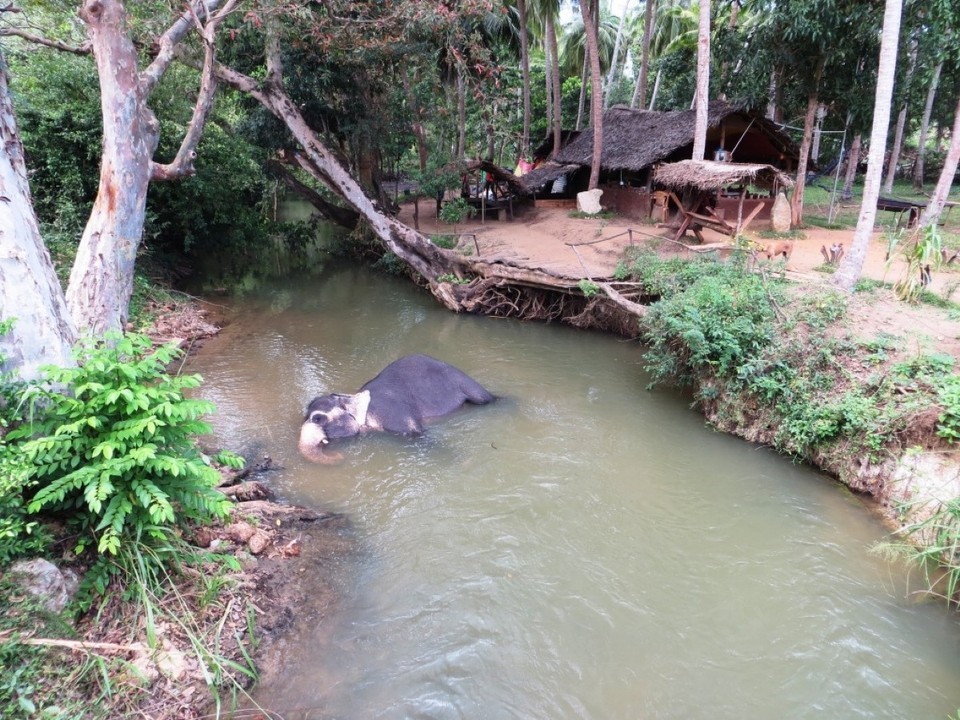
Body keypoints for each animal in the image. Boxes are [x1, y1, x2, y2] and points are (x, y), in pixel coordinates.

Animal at [298, 352, 496, 464]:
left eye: (318, 418)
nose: (339, 456)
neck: (353, 398)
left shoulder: (393, 415)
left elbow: (419, 435)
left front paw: (465, 462)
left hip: (465, 383)